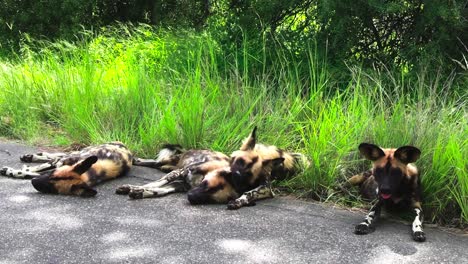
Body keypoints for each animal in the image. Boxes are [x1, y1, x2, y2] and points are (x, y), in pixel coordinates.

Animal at [1, 142, 133, 196]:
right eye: (52, 174)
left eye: (51, 187)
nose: (33, 183)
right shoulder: (57, 165)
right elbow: (33, 171)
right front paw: (12, 171)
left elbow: (29, 173)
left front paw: (11, 171)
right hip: (77, 152)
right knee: (54, 155)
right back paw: (30, 157)